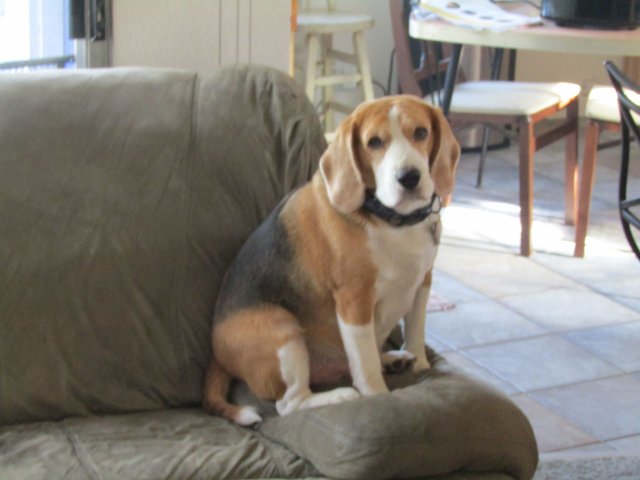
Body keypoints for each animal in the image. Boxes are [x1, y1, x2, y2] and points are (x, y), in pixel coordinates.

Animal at [202, 95, 458, 426]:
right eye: (374, 142)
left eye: (421, 132)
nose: (409, 177)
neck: (391, 220)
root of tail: (216, 353)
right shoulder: (354, 300)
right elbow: (364, 362)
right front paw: (377, 395)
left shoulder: (423, 282)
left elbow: (415, 331)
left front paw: (421, 366)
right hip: (284, 334)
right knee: (290, 403)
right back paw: (340, 395)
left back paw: (392, 360)